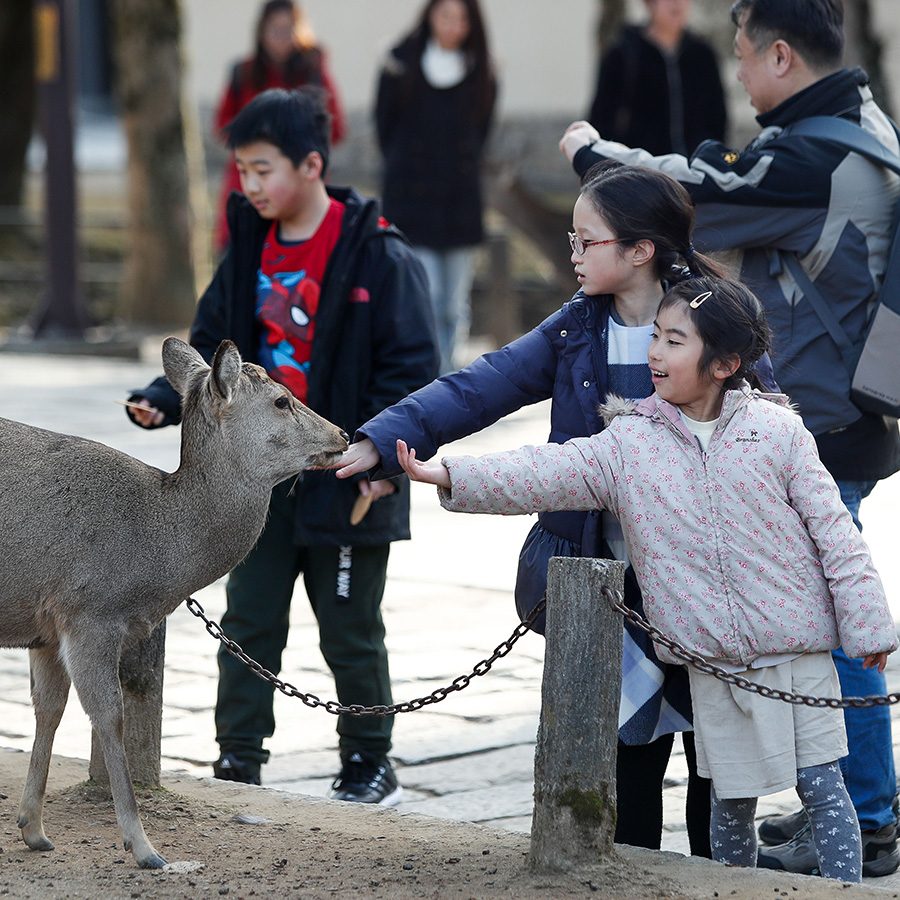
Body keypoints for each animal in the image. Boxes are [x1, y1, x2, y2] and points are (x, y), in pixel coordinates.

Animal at [0, 338, 348, 864]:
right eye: (282, 400)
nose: (344, 434)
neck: (156, 553)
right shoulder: (90, 612)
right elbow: (109, 716)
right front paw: (144, 848)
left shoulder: (47, 626)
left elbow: (49, 709)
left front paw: (34, 830)